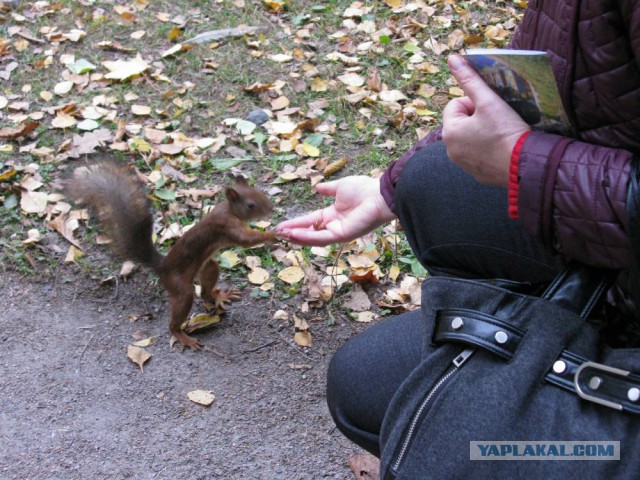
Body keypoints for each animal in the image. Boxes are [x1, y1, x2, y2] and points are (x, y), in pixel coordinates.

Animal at [67, 159, 278, 350]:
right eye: (250, 205)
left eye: (261, 193)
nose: (271, 209)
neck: (229, 210)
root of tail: (162, 267)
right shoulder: (226, 226)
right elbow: (245, 240)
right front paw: (273, 234)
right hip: (181, 289)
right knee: (179, 314)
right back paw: (182, 336)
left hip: (207, 266)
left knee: (205, 293)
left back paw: (220, 295)